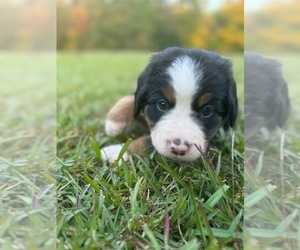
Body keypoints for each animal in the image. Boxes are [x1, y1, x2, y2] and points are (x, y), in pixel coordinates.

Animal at [102, 47, 238, 164]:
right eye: (162, 104)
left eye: (207, 110)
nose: (178, 148)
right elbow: (132, 97)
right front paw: (113, 123)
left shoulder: (216, 137)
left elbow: (146, 142)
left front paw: (117, 152)